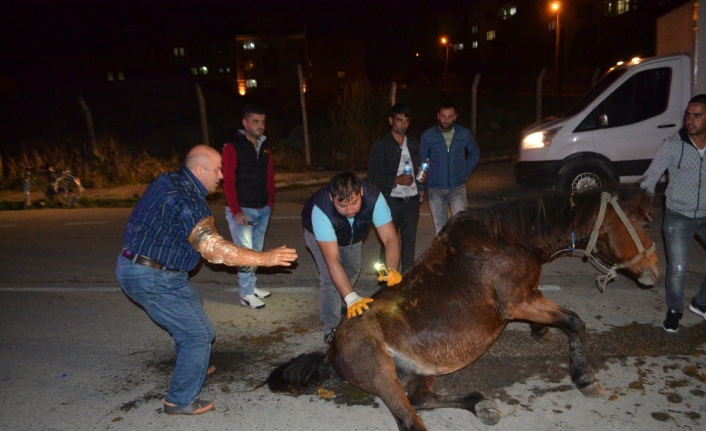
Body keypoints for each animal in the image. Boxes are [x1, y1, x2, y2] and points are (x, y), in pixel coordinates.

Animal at [266, 191, 656, 430]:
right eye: (643, 223)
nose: (654, 270)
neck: (508, 238)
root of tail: (331, 350)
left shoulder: (525, 297)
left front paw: (541, 331)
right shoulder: (516, 302)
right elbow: (574, 322)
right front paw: (584, 377)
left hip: (422, 367)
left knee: (421, 398)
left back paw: (480, 404)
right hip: (380, 372)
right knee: (411, 419)